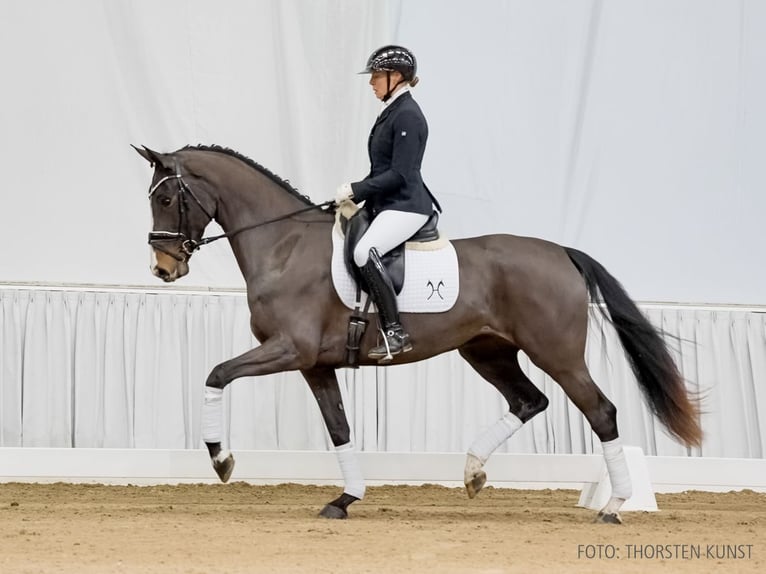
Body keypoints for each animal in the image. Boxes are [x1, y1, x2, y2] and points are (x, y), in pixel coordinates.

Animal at [134, 145, 704, 528]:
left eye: (166, 197)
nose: (164, 267)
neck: (284, 245)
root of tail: (561, 251)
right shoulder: (315, 364)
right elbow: (339, 428)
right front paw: (345, 499)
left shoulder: (289, 350)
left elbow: (216, 373)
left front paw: (221, 460)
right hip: (487, 351)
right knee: (529, 401)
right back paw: (473, 474)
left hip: (558, 354)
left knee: (600, 411)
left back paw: (613, 505)